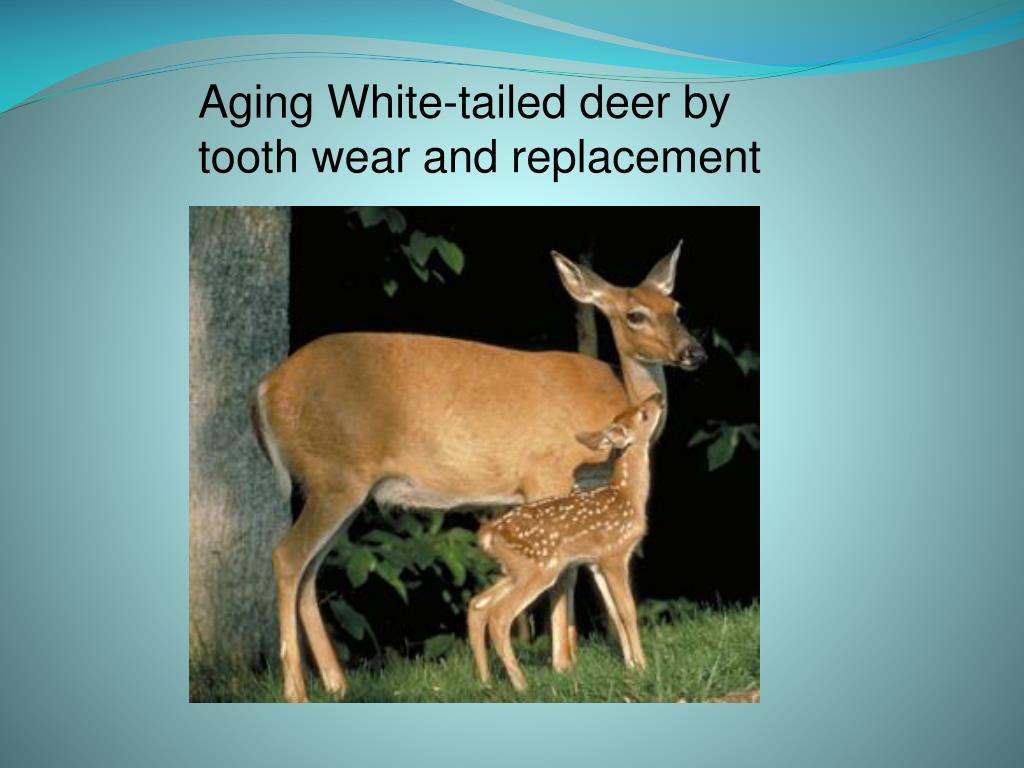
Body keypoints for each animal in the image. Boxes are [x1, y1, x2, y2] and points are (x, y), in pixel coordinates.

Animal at [469, 394, 664, 690]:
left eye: (635, 408)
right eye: (643, 414)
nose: (658, 397)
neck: (627, 497)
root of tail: (488, 534)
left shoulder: (595, 562)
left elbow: (614, 614)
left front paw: (630, 666)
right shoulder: (615, 554)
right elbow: (628, 610)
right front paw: (643, 667)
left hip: (515, 570)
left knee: (477, 605)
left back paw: (485, 681)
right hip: (539, 569)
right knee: (499, 616)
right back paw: (521, 684)